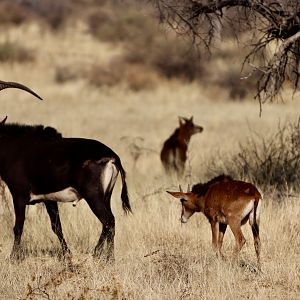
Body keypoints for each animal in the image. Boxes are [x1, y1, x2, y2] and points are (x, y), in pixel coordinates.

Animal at [0, 123, 131, 260]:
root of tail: (113, 157)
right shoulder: (48, 199)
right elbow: (56, 227)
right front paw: (67, 253)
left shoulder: (18, 195)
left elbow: (18, 227)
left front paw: (13, 257)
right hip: (106, 197)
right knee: (109, 223)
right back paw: (103, 256)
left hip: (93, 196)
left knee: (108, 221)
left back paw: (103, 256)